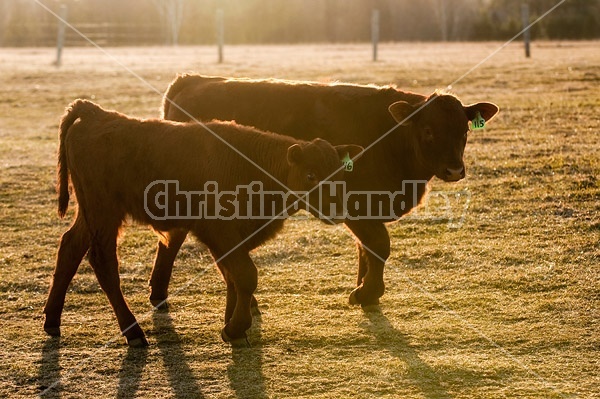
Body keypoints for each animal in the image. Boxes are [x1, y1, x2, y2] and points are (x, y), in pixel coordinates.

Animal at [44, 100, 360, 346]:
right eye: (310, 175)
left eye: (341, 172)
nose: (337, 211)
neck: (252, 165)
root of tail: (96, 113)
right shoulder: (218, 232)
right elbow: (245, 275)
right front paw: (235, 327)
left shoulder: (233, 239)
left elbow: (232, 276)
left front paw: (232, 323)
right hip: (104, 214)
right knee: (104, 264)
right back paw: (133, 332)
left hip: (90, 214)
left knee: (70, 247)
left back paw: (52, 320)